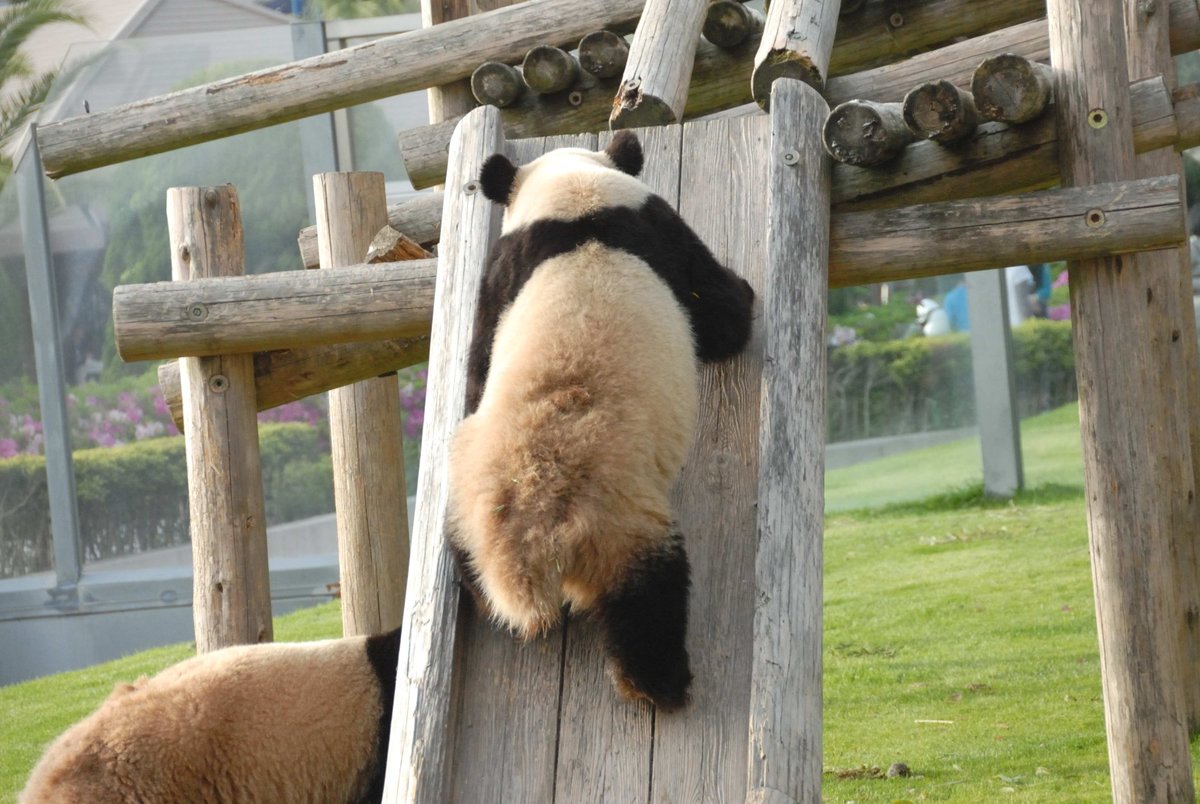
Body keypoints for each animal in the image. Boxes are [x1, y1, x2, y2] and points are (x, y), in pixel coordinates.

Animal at [446, 129, 753, 715]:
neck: (574, 201)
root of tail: (533, 538)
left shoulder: (502, 273)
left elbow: (478, 360)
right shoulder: (657, 224)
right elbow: (719, 311)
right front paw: (743, 296)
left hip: (468, 503)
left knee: (459, 549)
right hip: (620, 525)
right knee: (648, 598)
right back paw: (660, 684)